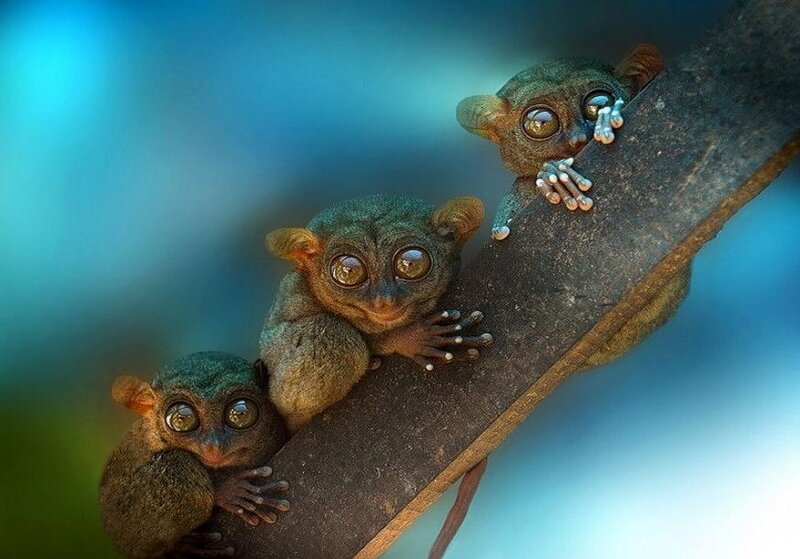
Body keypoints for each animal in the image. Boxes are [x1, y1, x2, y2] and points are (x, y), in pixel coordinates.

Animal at [431, 45, 691, 559]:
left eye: (595, 101)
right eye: (540, 121)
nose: (578, 137)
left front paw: (607, 121)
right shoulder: (511, 200)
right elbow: (506, 224)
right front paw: (552, 177)